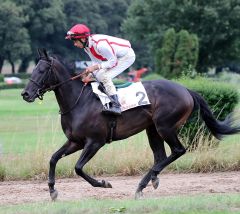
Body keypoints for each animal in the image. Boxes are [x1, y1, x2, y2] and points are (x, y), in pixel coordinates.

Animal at [21, 49, 239, 201]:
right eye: (34, 69)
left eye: (42, 70)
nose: (25, 93)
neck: (78, 101)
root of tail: (186, 89)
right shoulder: (75, 142)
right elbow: (53, 159)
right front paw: (52, 190)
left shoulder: (95, 142)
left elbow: (78, 168)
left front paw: (103, 183)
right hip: (152, 129)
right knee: (160, 156)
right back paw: (151, 180)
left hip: (165, 127)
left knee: (178, 150)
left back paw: (143, 183)